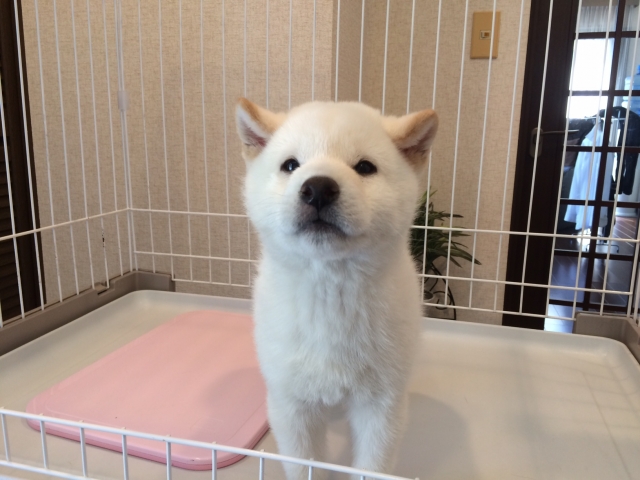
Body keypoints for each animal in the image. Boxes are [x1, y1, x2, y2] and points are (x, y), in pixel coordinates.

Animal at [236, 98, 438, 479]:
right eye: (290, 165)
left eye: (364, 167)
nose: (317, 188)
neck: (330, 296)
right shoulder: (292, 408)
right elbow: (305, 465)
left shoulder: (381, 407)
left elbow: (373, 466)